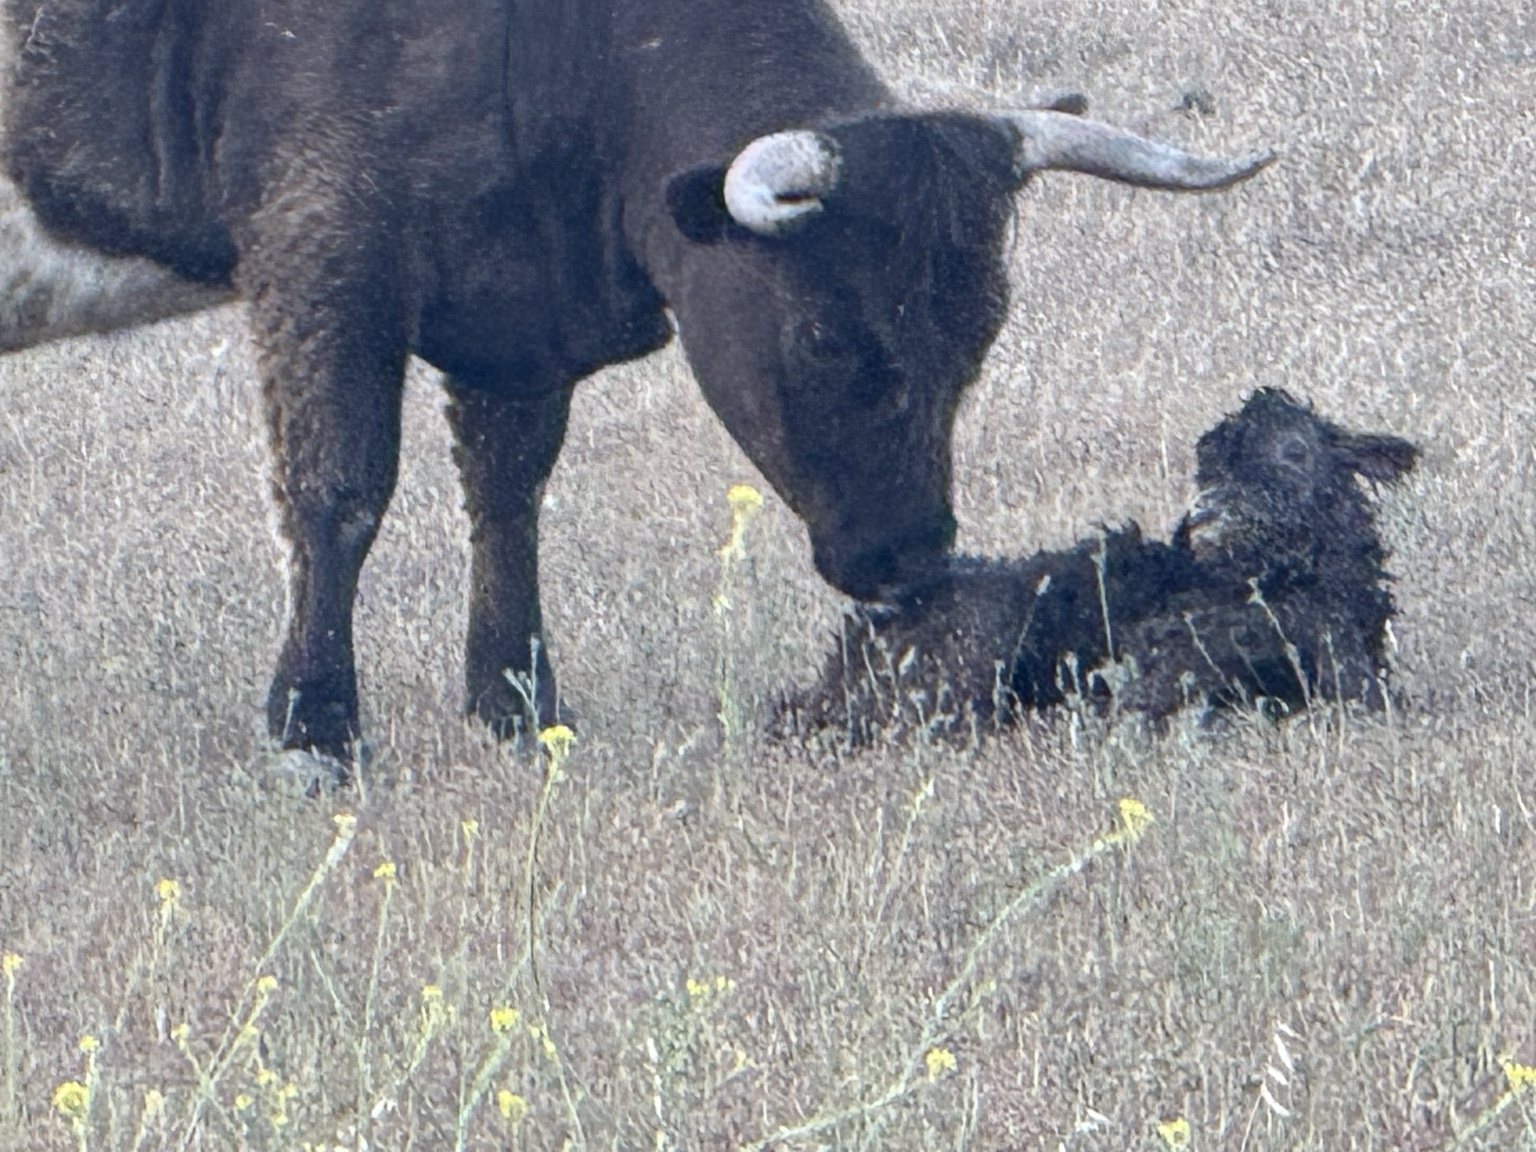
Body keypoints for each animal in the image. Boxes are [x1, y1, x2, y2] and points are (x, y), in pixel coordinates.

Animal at [0, 0, 1272, 767]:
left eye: (984, 330)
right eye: (824, 336)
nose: (911, 557)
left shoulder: (507, 317)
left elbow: (507, 500)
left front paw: (519, 706)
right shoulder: (322, 259)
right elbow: (340, 495)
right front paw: (315, 731)